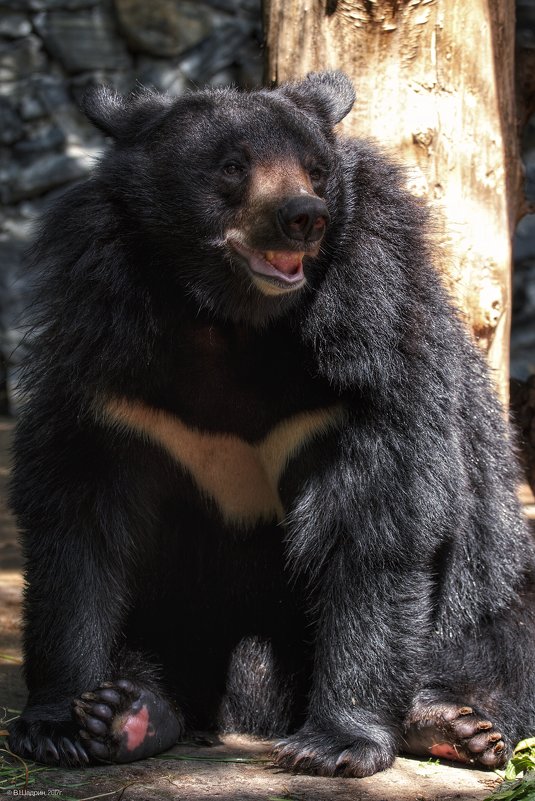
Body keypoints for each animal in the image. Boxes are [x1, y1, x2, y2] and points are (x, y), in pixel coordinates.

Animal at [7, 73, 535, 776]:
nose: (303, 216)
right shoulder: (107, 365)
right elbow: (78, 516)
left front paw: (336, 746)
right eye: (233, 167)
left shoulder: (366, 353)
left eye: (316, 170)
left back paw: (454, 723)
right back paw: (130, 713)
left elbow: (372, 520)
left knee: (502, 637)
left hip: (492, 587)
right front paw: (60, 725)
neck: (232, 320)